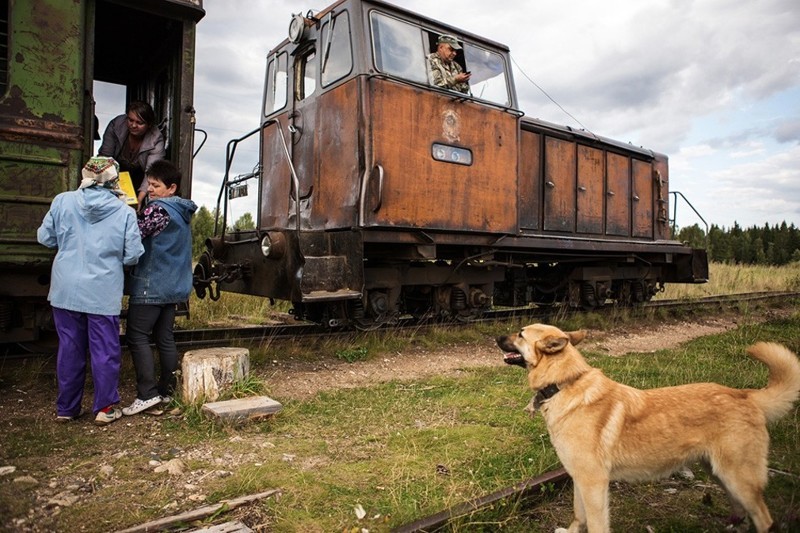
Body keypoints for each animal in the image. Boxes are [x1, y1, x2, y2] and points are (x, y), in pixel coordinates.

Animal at [496, 322, 796, 532]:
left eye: (521, 334)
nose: (496, 337)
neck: (564, 383)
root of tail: (746, 395)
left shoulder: (594, 482)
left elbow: (595, 523)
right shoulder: (580, 479)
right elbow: (579, 516)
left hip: (738, 478)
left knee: (763, 518)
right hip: (721, 475)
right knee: (742, 513)